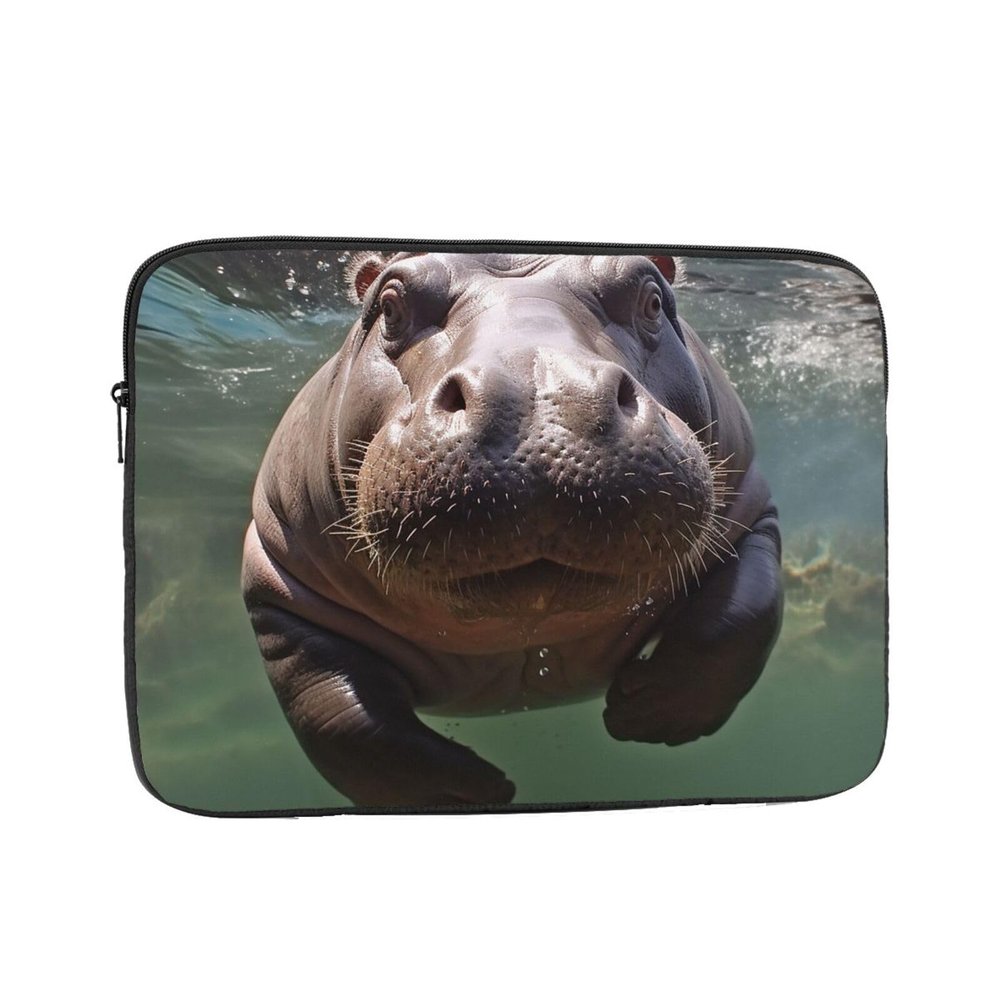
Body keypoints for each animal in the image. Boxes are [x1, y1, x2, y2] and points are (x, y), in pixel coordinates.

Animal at [241, 251, 783, 807]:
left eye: (652, 299)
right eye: (389, 305)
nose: (539, 392)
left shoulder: (751, 515)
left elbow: (738, 620)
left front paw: (645, 716)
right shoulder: (279, 579)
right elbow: (337, 714)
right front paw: (471, 791)